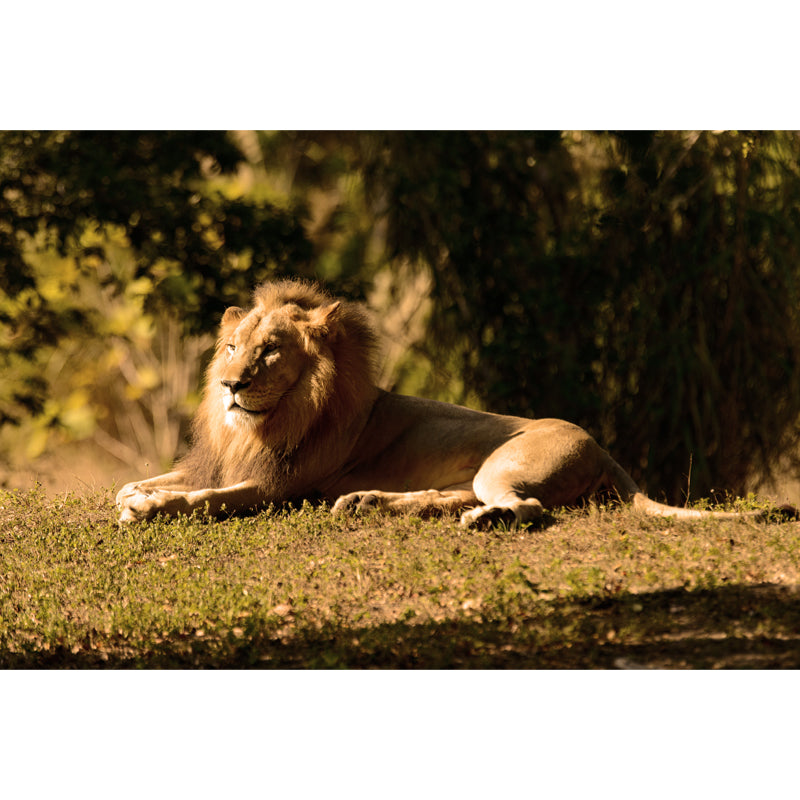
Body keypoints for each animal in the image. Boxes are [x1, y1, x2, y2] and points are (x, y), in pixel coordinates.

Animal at [116, 278, 767, 526]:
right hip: (476, 474)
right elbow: (160, 479)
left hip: (503, 466)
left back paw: (482, 521)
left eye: (270, 351)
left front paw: (149, 507)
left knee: (528, 508)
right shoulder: (224, 461)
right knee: (448, 497)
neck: (256, 426)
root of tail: (601, 447)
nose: (231, 384)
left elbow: (206, 499)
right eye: (231, 346)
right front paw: (135, 491)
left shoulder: (279, 487)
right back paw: (366, 502)